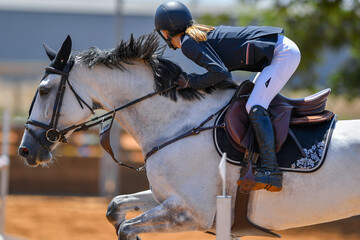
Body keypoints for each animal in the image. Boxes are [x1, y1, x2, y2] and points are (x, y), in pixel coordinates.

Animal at [18, 33, 358, 240]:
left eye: (44, 90)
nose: (25, 151)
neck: (179, 123)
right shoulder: (168, 199)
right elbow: (115, 207)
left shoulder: (193, 212)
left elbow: (126, 227)